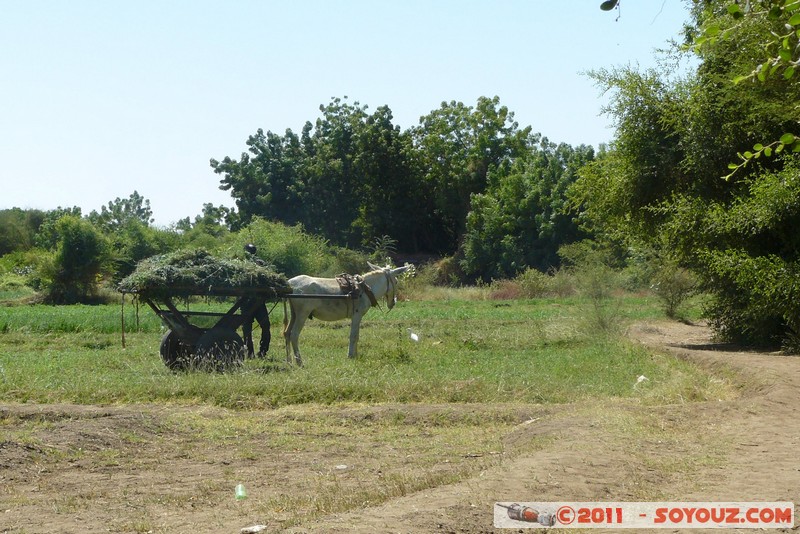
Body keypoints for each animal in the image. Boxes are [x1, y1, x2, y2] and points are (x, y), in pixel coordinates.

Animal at [284, 262, 412, 366]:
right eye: (396, 282)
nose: (393, 303)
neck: (365, 289)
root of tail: (290, 283)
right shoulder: (357, 315)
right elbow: (353, 335)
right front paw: (351, 356)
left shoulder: (358, 317)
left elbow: (357, 335)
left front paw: (356, 355)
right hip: (302, 314)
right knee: (294, 335)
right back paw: (299, 362)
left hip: (294, 314)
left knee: (287, 333)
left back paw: (289, 361)